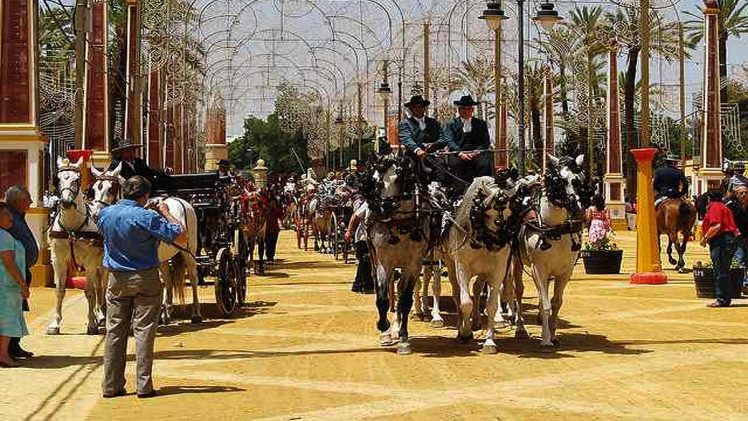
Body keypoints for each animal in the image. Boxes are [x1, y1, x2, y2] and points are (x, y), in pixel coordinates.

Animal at [46, 158, 108, 334]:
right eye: (58, 179)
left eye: (77, 179)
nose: (66, 202)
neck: (72, 229)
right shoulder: (58, 260)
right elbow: (60, 291)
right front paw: (55, 324)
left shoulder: (89, 262)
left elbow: (89, 291)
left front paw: (92, 324)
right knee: (98, 286)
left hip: (102, 263)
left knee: (102, 286)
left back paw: (101, 316)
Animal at [364, 153, 432, 352]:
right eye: (375, 181)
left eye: (401, 179)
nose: (383, 208)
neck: (399, 224)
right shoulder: (384, 262)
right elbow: (383, 298)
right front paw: (383, 326)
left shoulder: (414, 263)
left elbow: (406, 299)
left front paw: (403, 337)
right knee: (390, 291)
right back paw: (389, 330)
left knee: (401, 291)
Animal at [516, 154, 592, 348]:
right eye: (559, 181)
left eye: (581, 180)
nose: (578, 209)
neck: (554, 228)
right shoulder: (538, 269)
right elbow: (545, 304)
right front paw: (545, 339)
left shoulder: (565, 271)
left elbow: (556, 302)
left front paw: (553, 334)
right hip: (514, 263)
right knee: (515, 291)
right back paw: (520, 327)